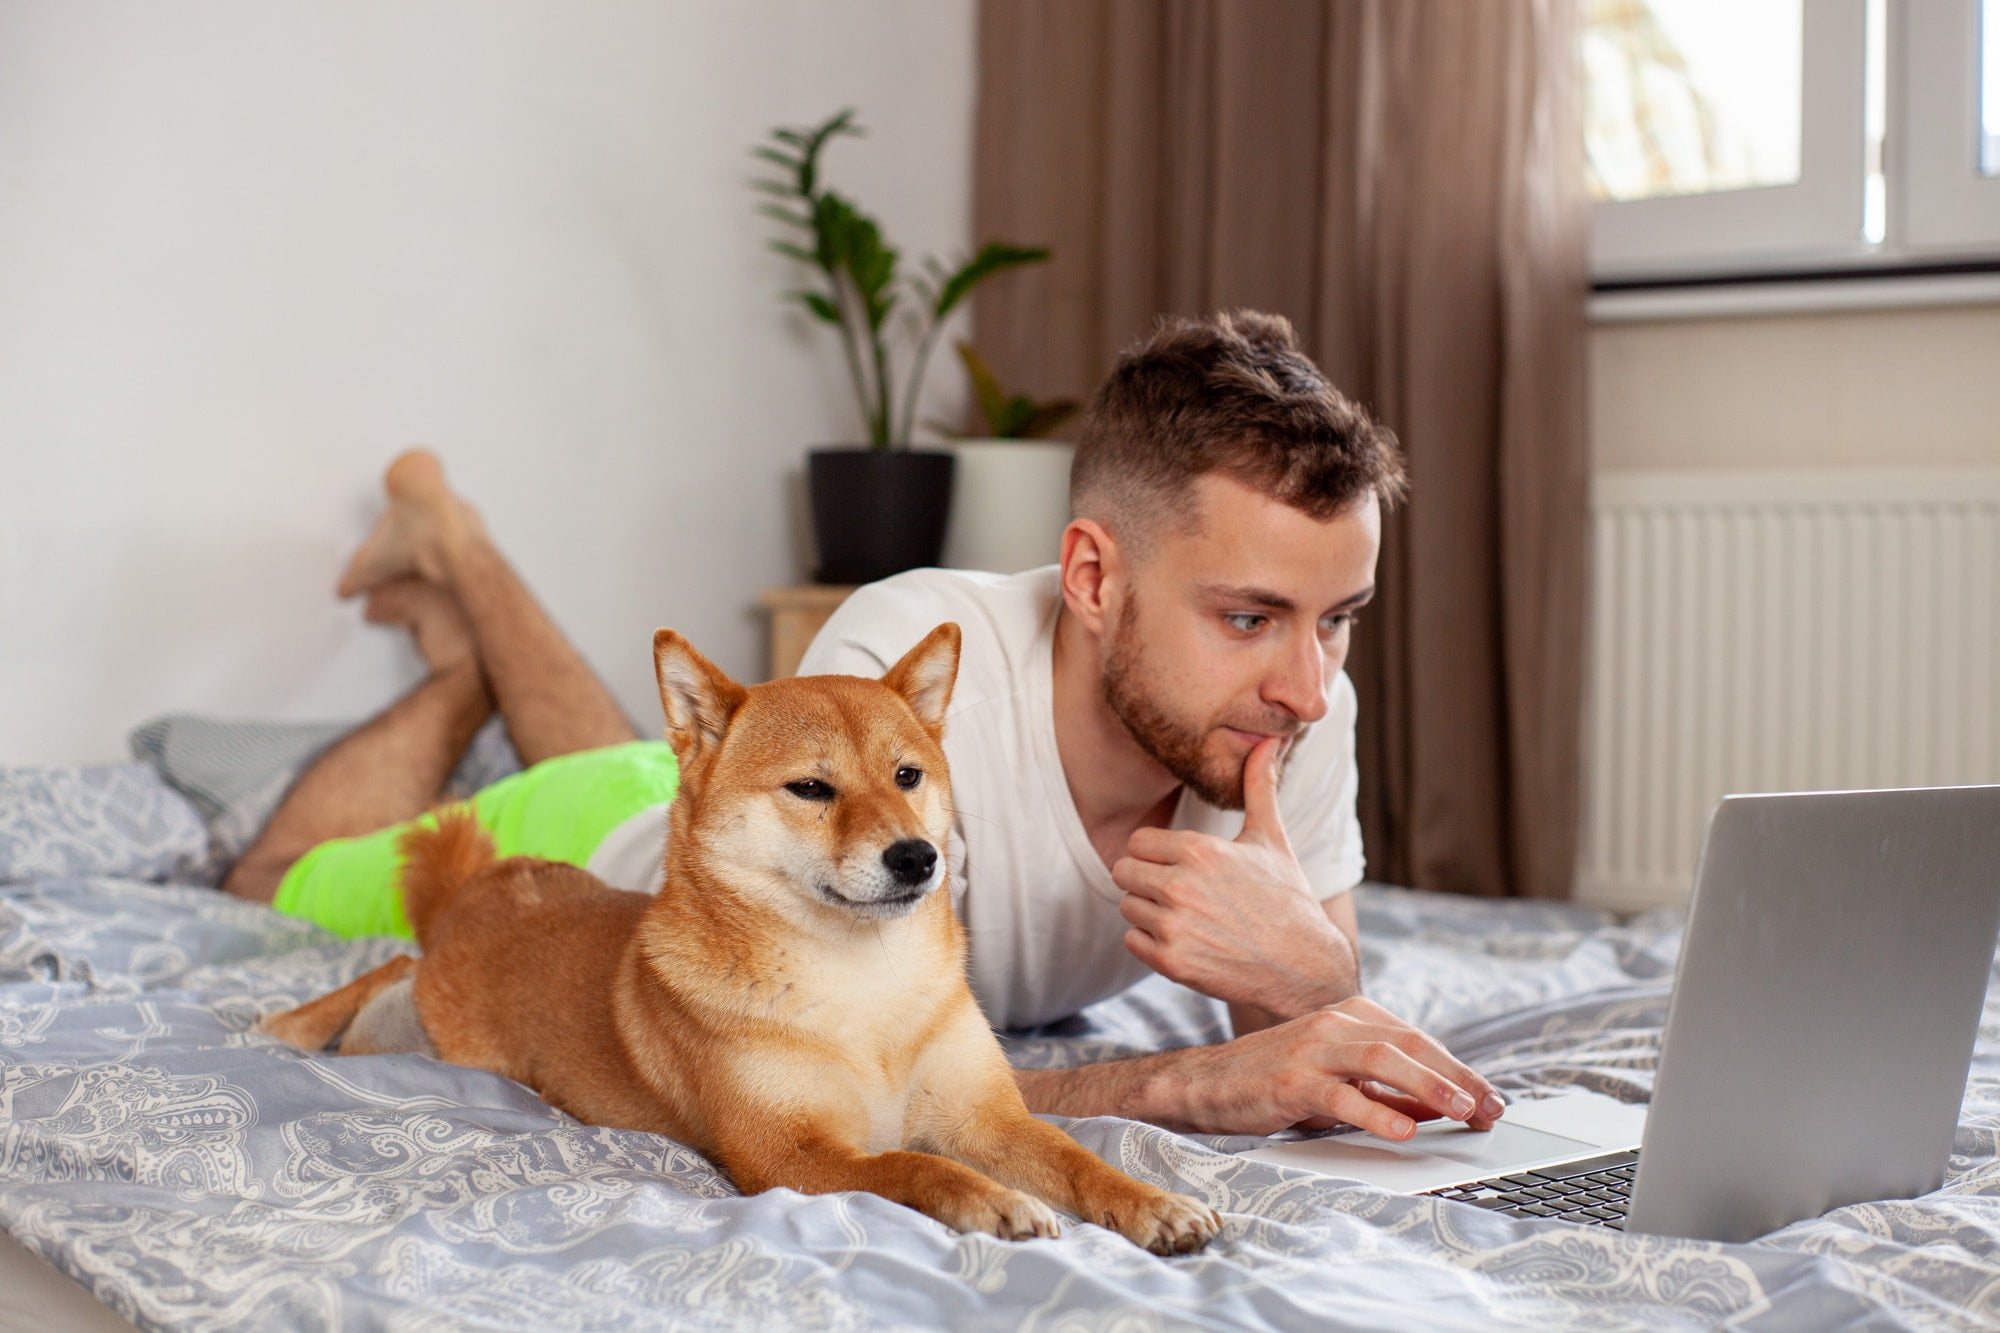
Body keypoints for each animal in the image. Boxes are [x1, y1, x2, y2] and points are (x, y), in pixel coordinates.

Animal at [258, 620, 1224, 1248]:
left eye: (908, 775)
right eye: (811, 788)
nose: (917, 856)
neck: (863, 992)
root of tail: (494, 882)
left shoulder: (985, 1115)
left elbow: (1077, 1158)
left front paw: (1154, 1203)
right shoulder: (786, 1153)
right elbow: (916, 1170)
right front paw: (989, 1200)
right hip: (422, 1022)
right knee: (391, 959)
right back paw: (282, 1026)